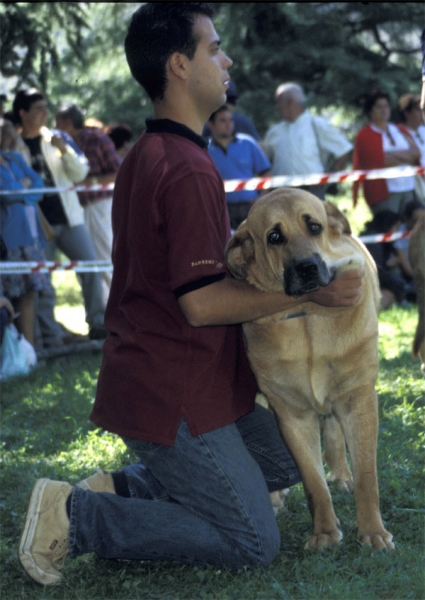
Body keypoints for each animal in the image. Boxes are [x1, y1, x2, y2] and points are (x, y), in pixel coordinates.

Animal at [225, 190, 394, 552]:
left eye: (314, 226)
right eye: (274, 237)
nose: (307, 267)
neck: (307, 313)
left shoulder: (359, 401)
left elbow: (367, 477)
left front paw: (373, 532)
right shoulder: (292, 415)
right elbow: (313, 482)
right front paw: (325, 534)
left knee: (333, 431)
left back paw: (341, 475)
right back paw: (276, 498)